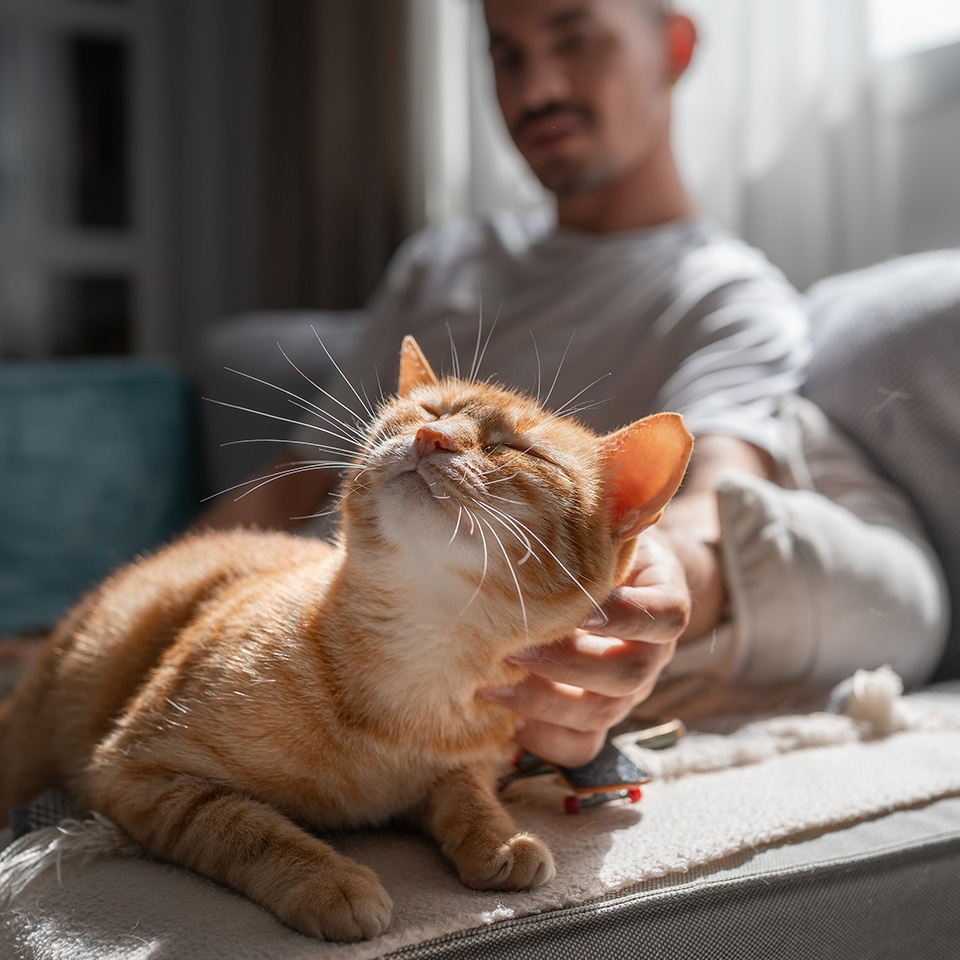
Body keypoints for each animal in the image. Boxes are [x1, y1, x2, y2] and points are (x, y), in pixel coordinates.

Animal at [0, 336, 688, 936]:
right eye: (429, 410)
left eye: (518, 451)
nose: (431, 437)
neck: (422, 657)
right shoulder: (136, 771)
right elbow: (243, 825)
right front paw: (328, 881)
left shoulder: (463, 766)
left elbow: (468, 795)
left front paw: (500, 837)